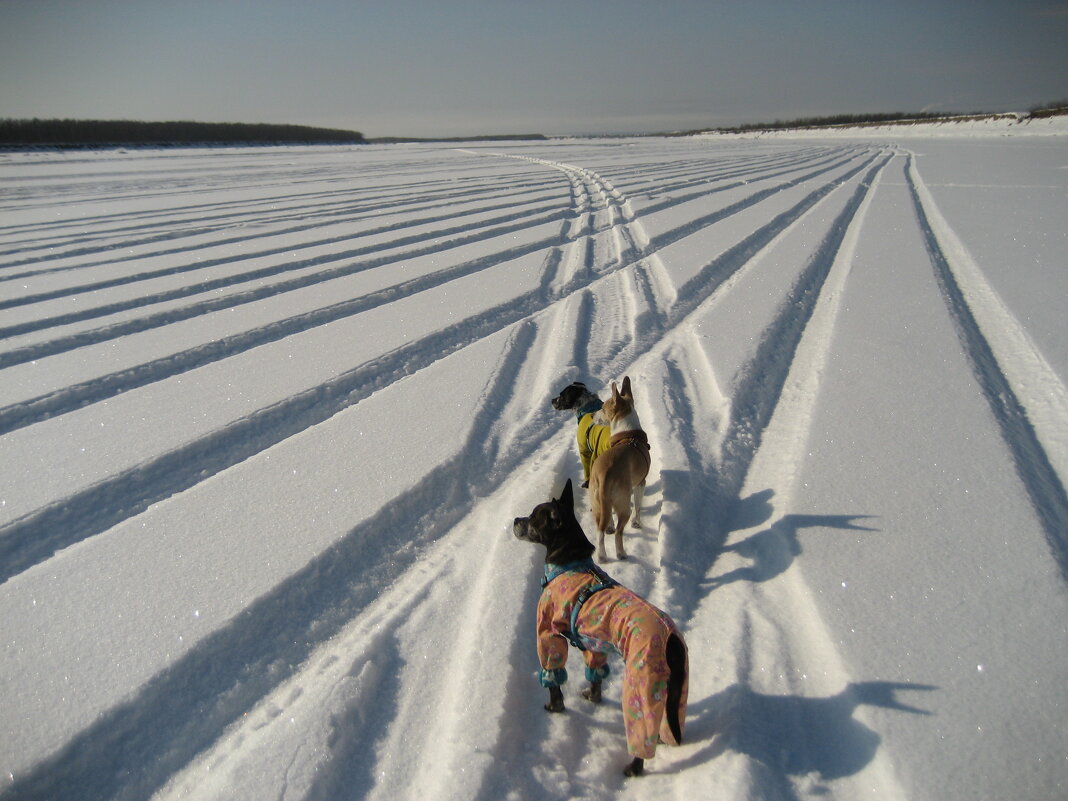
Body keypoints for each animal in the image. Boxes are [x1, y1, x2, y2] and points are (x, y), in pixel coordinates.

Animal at [514, 482, 683, 777]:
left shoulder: (548, 634)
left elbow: (554, 678)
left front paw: (554, 707)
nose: (515, 520)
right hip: (675, 693)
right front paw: (593, 697)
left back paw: (632, 768)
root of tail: (671, 640)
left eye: (533, 518)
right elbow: (595, 676)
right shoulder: (593, 643)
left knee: (641, 735)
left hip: (641, 685)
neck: (569, 562)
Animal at [585, 378, 649, 559]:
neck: (629, 434)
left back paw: (602, 556)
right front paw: (636, 523)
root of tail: (604, 475)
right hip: (623, 504)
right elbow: (639, 506)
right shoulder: (641, 483)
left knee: (600, 530)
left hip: (598, 503)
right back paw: (621, 553)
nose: (592, 415)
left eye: (602, 408)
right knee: (619, 532)